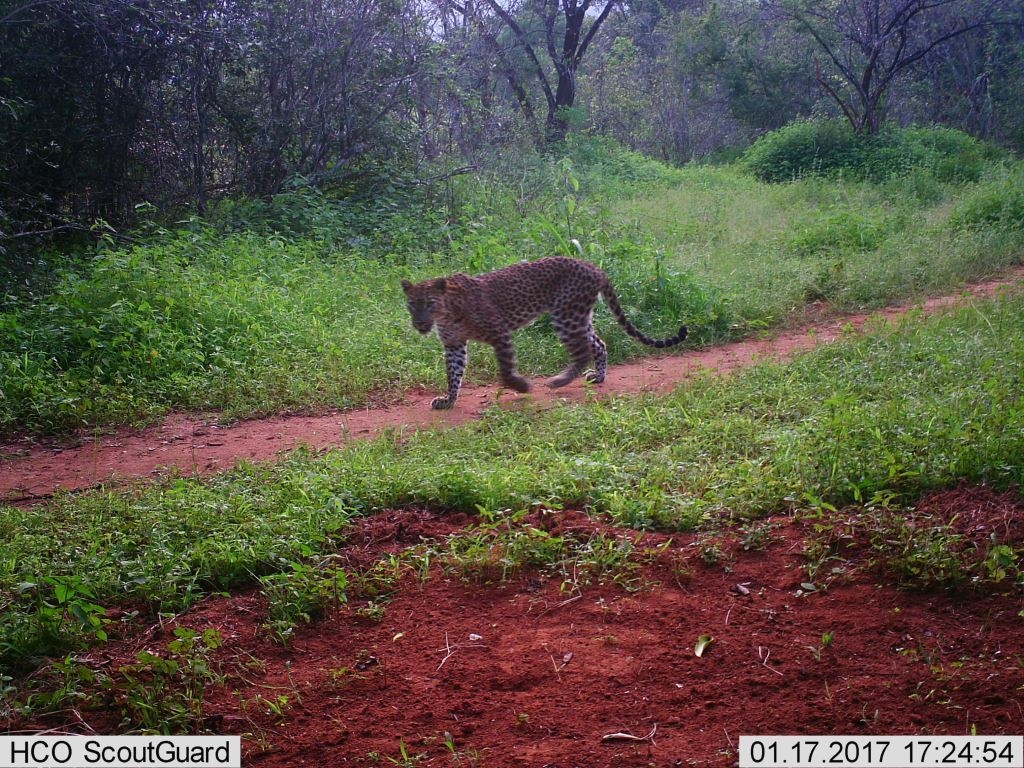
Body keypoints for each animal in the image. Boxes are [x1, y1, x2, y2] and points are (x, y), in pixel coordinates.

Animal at [399, 259, 688, 411]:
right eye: (412, 304)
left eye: (430, 303)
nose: (419, 322)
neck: (446, 313)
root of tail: (594, 266)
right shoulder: (454, 344)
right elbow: (454, 373)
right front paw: (448, 400)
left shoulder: (500, 333)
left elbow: (505, 370)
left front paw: (521, 386)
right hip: (580, 316)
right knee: (599, 344)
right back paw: (598, 377)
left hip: (566, 314)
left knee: (582, 351)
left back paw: (560, 380)